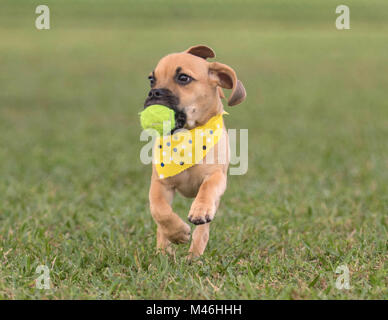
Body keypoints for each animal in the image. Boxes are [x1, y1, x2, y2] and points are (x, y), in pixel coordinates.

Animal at [142, 45, 246, 258]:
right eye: (151, 79)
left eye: (183, 78)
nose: (154, 93)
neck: (186, 136)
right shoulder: (160, 183)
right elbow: (159, 210)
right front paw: (178, 233)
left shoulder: (217, 175)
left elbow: (207, 188)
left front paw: (200, 210)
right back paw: (164, 251)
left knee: (203, 231)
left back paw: (194, 256)